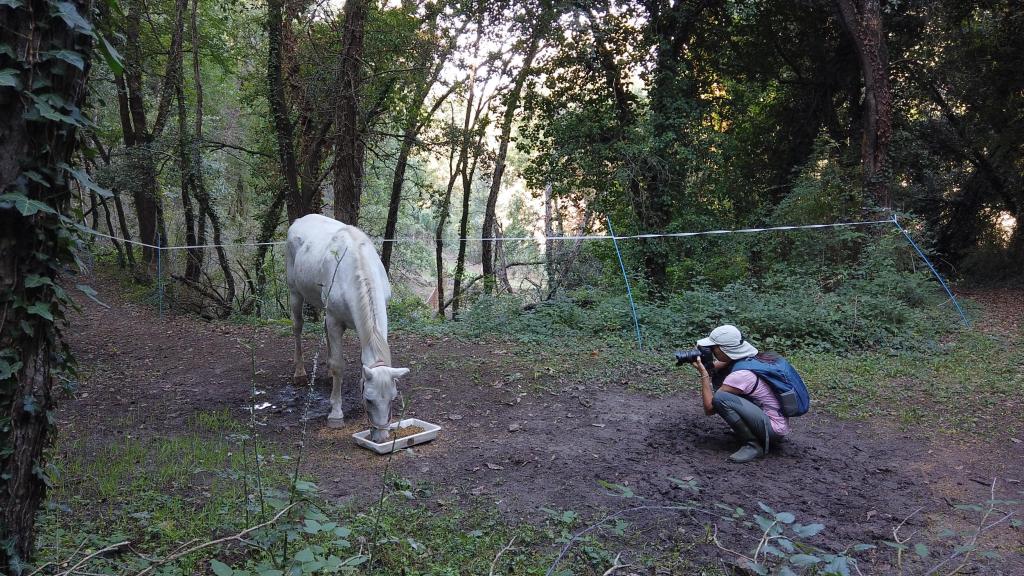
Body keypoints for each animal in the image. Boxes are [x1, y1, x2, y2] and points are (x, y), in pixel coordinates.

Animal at [285, 214, 409, 442]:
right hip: (294, 292)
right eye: (369, 400)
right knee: (297, 327)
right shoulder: (335, 320)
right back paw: (300, 373)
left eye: (392, 399)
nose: (381, 437)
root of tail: (299, 220)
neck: (354, 268)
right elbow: (338, 365)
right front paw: (335, 414)